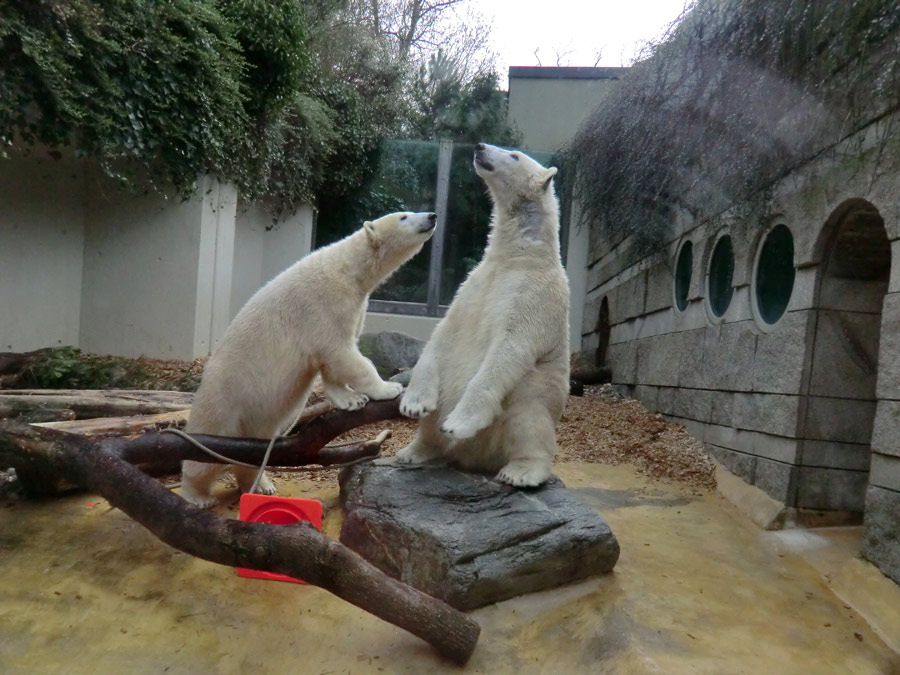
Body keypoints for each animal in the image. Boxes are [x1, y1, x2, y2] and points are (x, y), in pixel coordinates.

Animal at [179, 211, 436, 508]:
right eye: (404, 216)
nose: (432, 216)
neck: (348, 269)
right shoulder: (324, 304)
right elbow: (342, 353)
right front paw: (388, 388)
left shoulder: (353, 307)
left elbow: (333, 362)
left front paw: (350, 399)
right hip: (223, 399)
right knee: (204, 454)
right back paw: (197, 495)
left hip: (256, 418)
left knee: (255, 449)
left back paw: (262, 484)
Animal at [400, 145, 568, 488]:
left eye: (514, 155)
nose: (479, 147)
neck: (518, 255)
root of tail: (475, 457)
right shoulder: (473, 285)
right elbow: (444, 333)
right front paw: (413, 403)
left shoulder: (535, 295)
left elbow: (510, 347)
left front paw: (457, 423)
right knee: (437, 409)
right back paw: (415, 449)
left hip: (532, 397)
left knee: (528, 421)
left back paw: (520, 471)